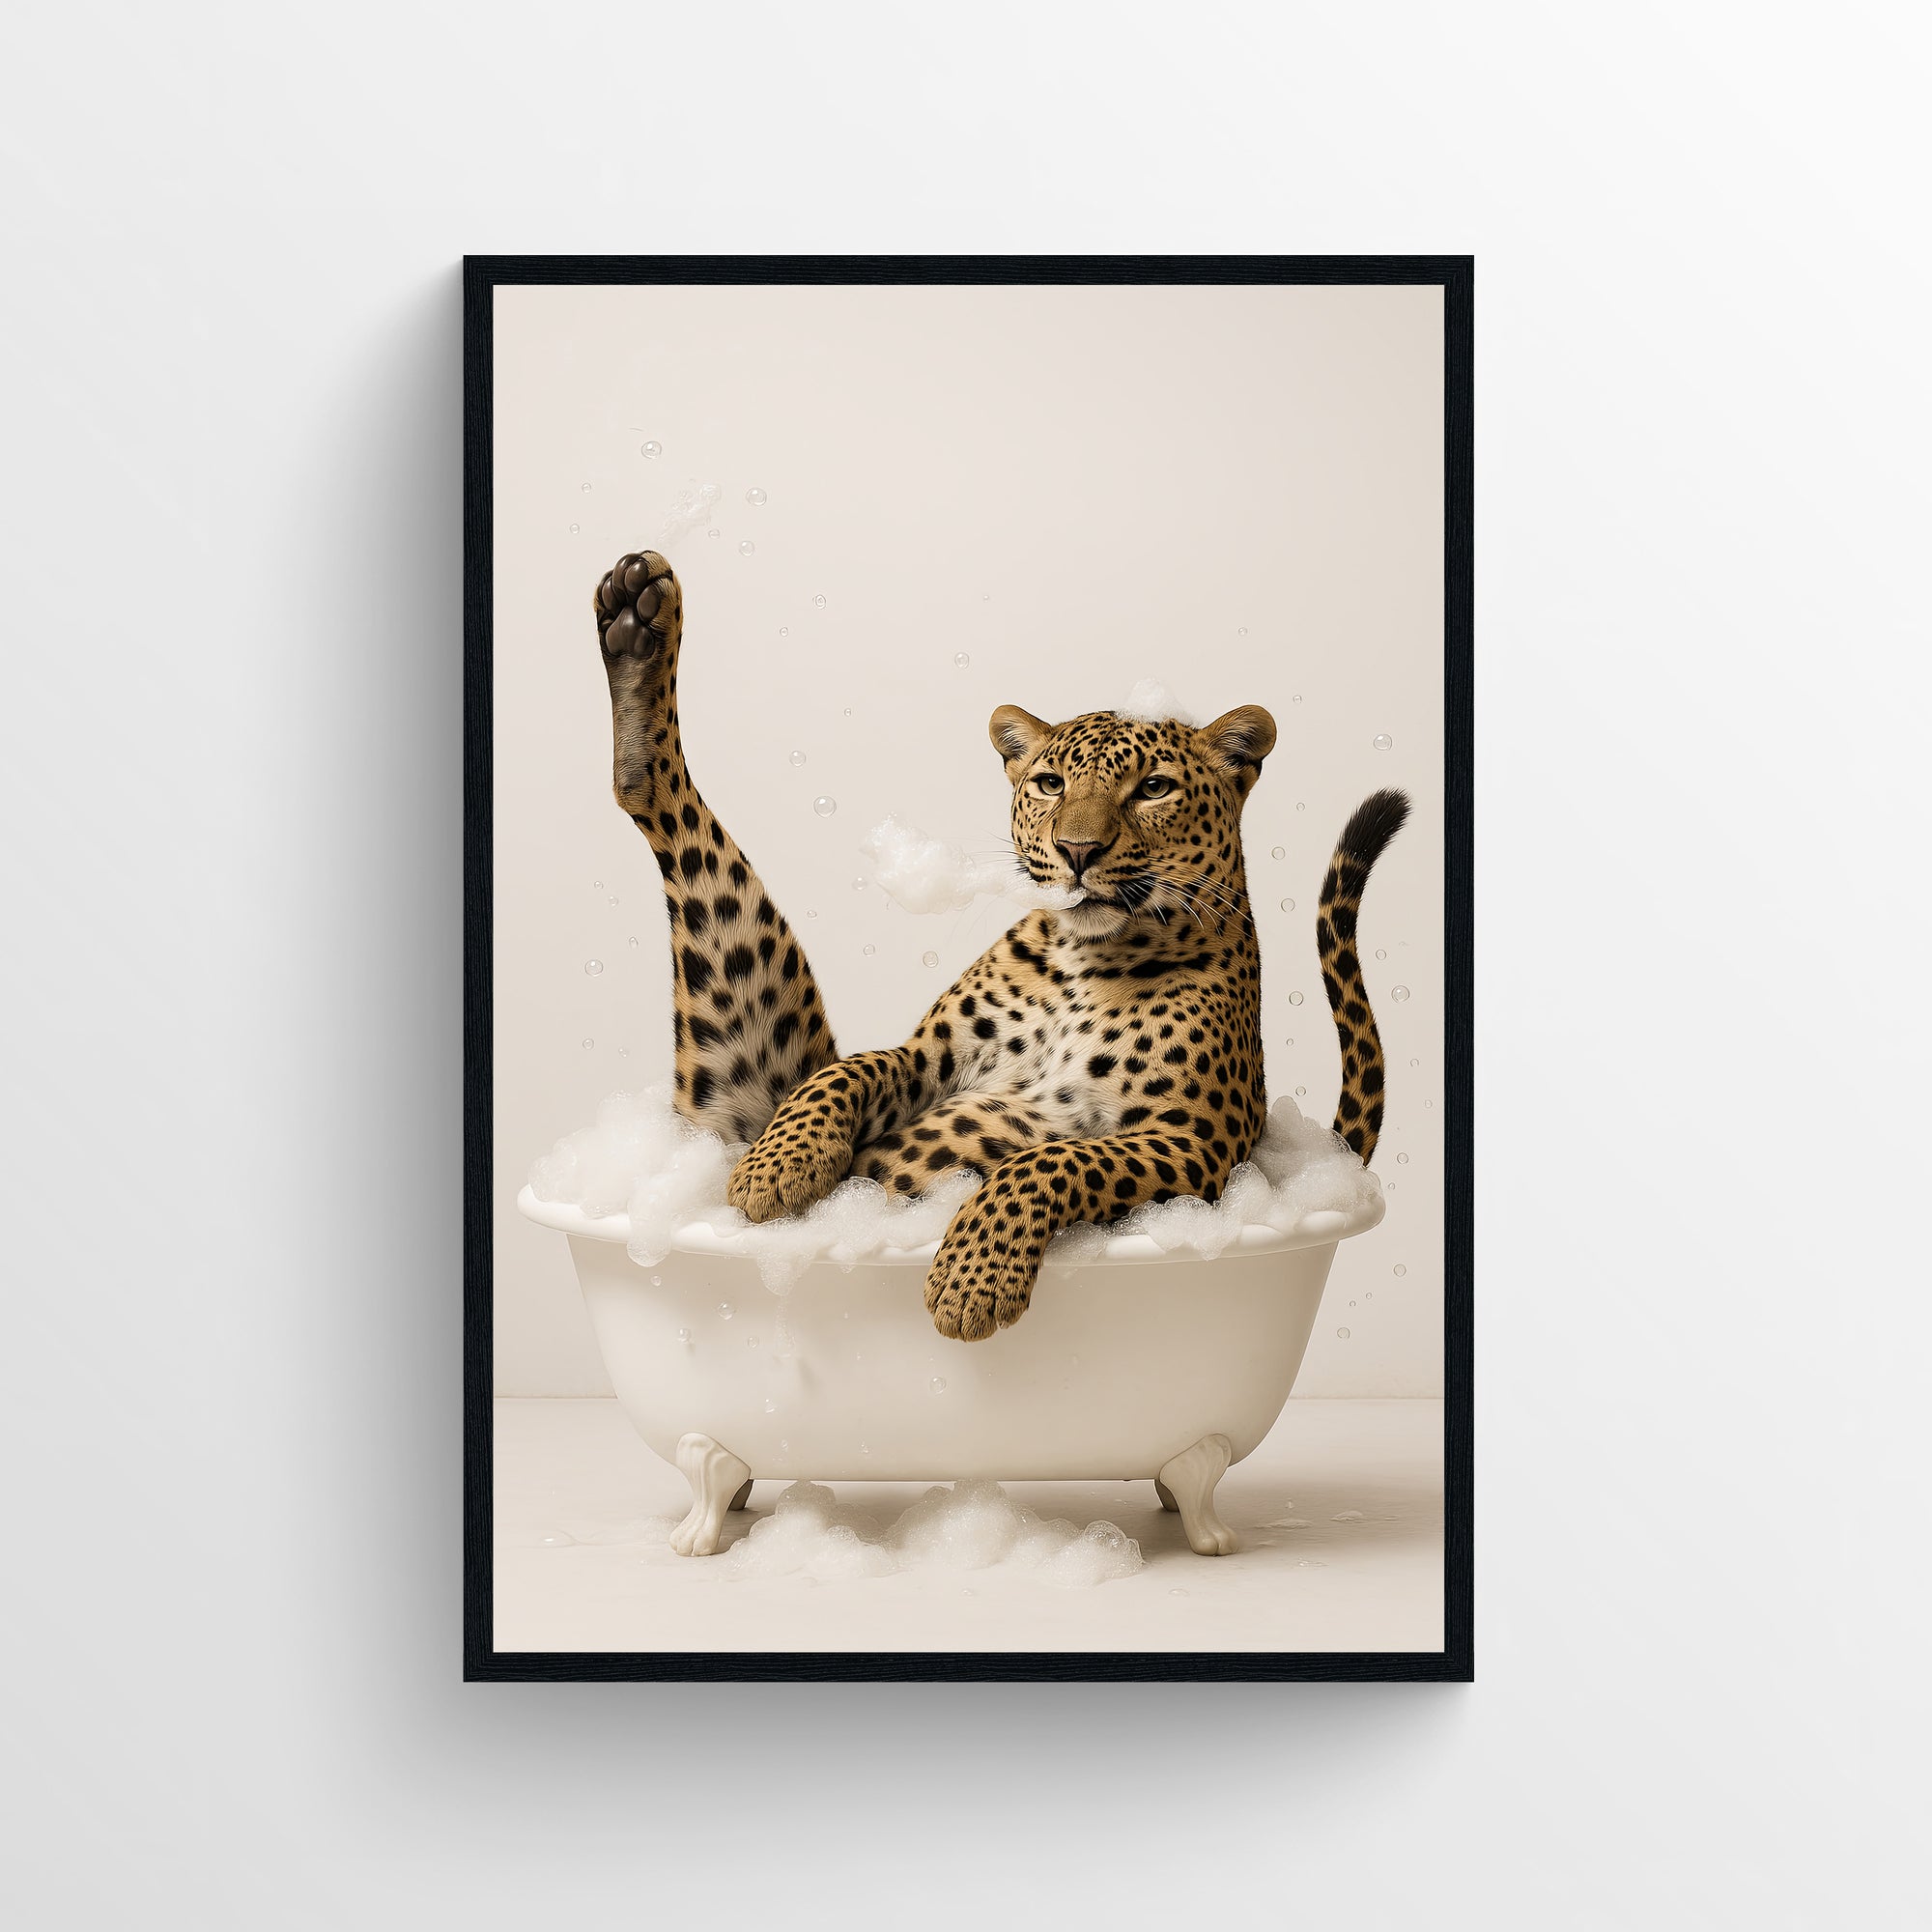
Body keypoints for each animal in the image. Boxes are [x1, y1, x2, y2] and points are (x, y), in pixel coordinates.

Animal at [594, 548, 1408, 1342]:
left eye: (1154, 788)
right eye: (1049, 782)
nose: (1077, 850)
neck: (1086, 962)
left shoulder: (1193, 1139)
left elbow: (1053, 1158)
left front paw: (971, 1279)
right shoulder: (931, 1054)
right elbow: (847, 1071)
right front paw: (779, 1167)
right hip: (733, 1092)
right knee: (657, 810)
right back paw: (635, 622)